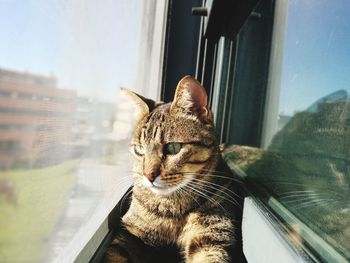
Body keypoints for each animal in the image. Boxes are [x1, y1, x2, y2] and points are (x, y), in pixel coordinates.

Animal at [104, 76, 246, 263]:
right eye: (139, 150)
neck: (172, 206)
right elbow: (114, 253)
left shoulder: (212, 236)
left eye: (173, 148)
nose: (148, 175)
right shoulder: (130, 232)